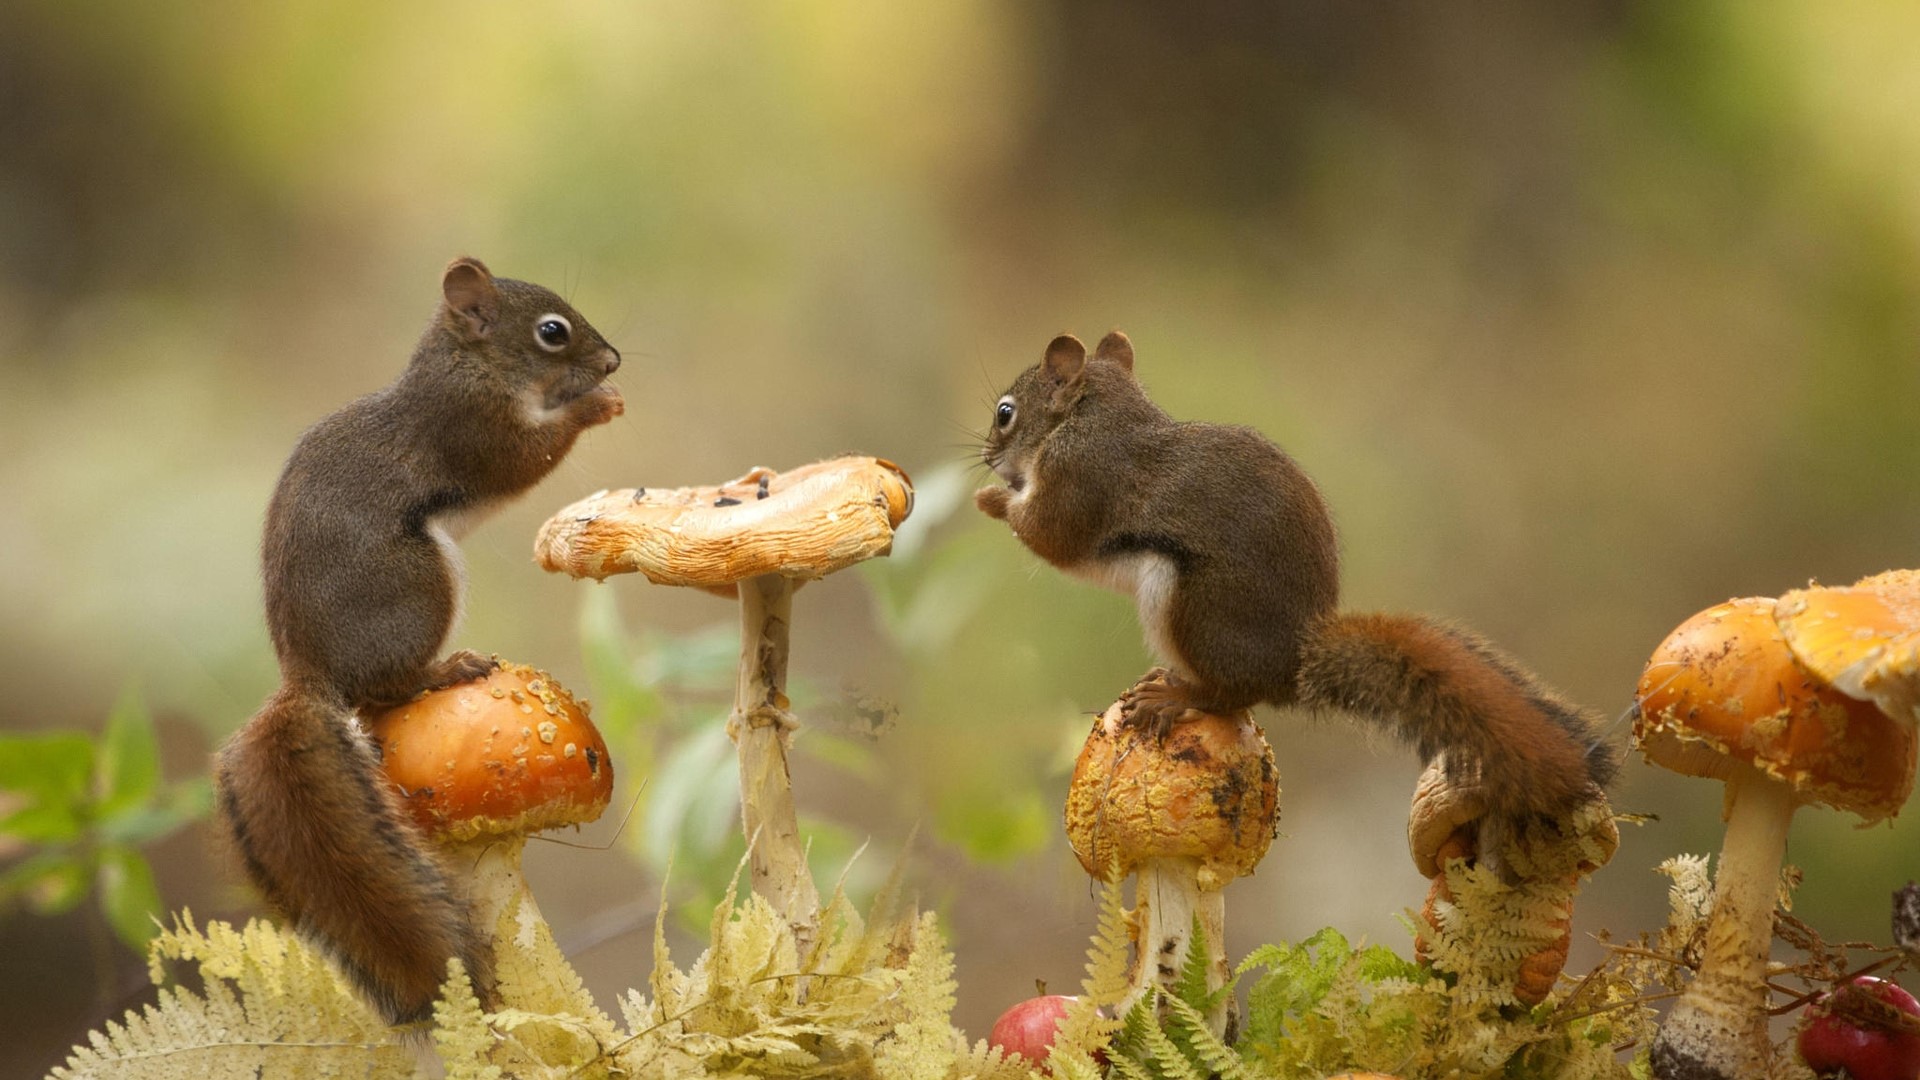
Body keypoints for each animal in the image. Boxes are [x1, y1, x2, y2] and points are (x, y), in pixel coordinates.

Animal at [214, 257, 625, 1025]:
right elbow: (524, 459)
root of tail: (309, 673)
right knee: (385, 688)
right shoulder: (469, 428)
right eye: (552, 332)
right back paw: (448, 667)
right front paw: (595, 407)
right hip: (420, 584)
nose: (613, 360)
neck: (472, 366)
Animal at [975, 331, 1617, 822]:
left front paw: (991, 500)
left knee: (1230, 696)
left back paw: (1176, 694)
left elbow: (1049, 536)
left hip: (1192, 607)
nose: (986, 458)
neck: (1093, 418)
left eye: (1006, 413)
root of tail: (1293, 666)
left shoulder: (1080, 481)